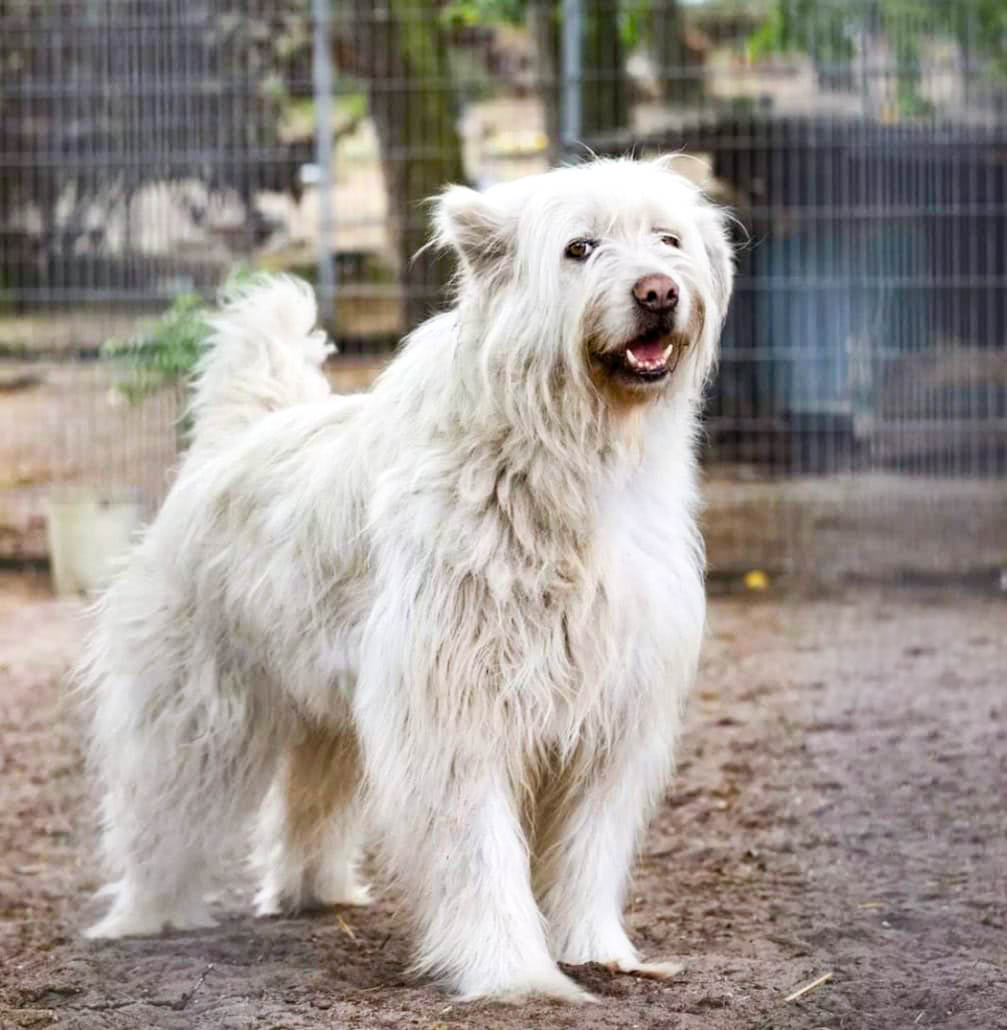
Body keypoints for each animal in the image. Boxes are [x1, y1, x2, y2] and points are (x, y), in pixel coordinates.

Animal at [81, 155, 734, 1003]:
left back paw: (315, 893)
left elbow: (587, 852)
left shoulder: (610, 717)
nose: (657, 292)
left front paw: (595, 948)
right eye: (580, 248)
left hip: (330, 719)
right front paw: (512, 971)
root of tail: (236, 437)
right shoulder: (454, 711)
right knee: (160, 815)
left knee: (307, 809)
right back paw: (144, 919)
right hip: (195, 715)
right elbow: (481, 854)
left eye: (668, 239)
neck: (564, 458)